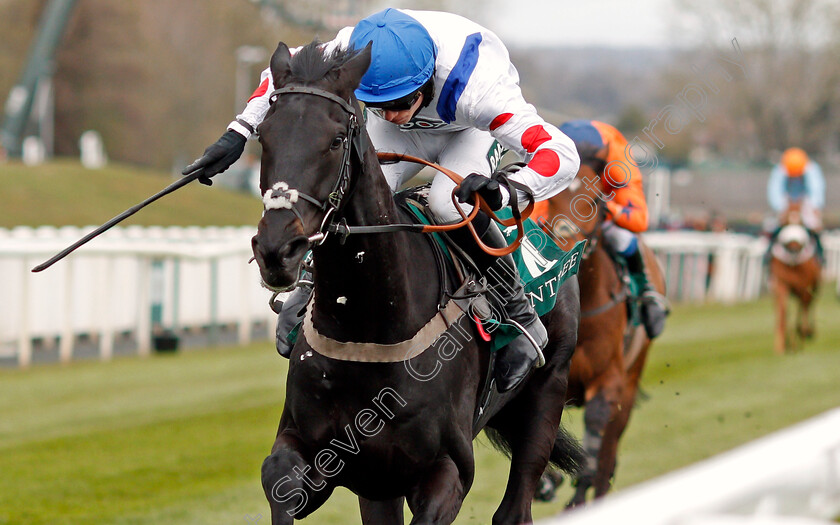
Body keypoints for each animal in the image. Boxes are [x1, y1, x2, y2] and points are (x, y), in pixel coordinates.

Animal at [249, 42, 584, 524]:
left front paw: (490, 188)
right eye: (263, 137)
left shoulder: (448, 471)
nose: (278, 249)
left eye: (335, 140)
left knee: (514, 506)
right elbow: (280, 479)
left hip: (547, 391)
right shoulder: (334, 456)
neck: (368, 327)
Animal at [536, 165, 668, 508]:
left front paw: (579, 489)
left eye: (596, 198)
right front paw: (548, 480)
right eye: (551, 194)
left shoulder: (609, 380)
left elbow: (596, 429)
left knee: (609, 454)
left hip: (630, 383)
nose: (565, 241)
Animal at [768, 203, 820, 354]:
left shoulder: (805, 287)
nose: (794, 250)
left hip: (814, 287)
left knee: (809, 307)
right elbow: (783, 312)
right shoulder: (782, 284)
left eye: (802, 222)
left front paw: (799, 338)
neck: (794, 265)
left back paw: (807, 332)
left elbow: (801, 312)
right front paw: (780, 346)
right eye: (785, 222)